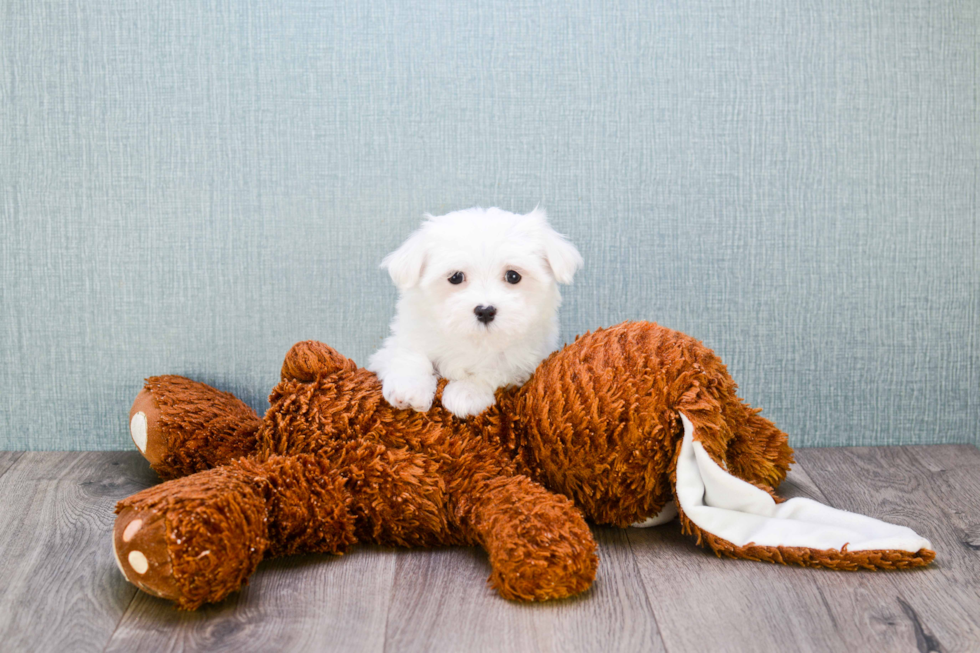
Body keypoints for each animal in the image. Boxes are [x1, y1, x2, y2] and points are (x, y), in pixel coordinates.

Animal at [368, 208, 580, 418]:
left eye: (513, 276)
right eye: (455, 277)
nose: (485, 311)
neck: (475, 340)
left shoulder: (526, 361)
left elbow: (496, 369)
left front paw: (466, 393)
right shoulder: (405, 335)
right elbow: (409, 353)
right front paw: (409, 389)